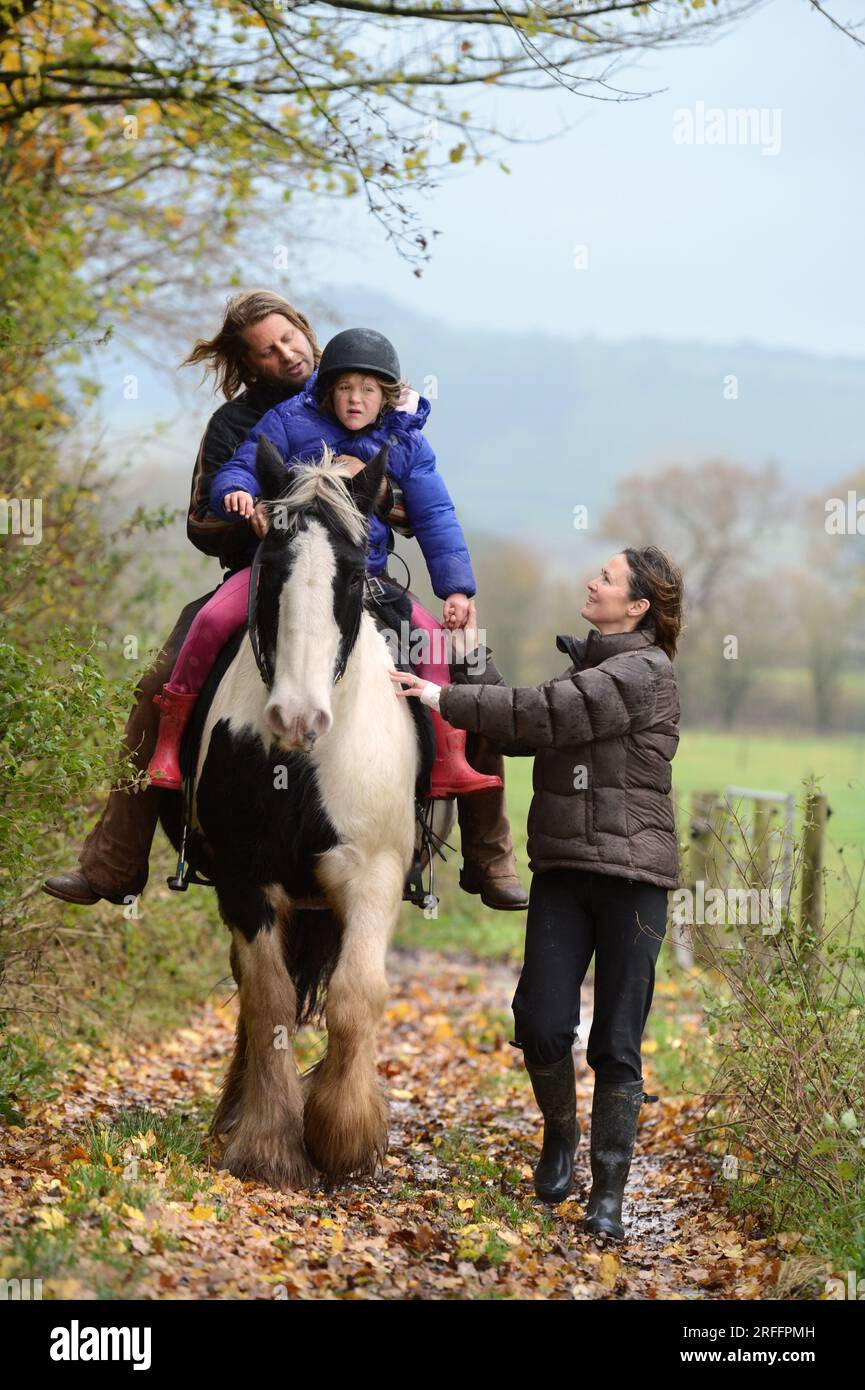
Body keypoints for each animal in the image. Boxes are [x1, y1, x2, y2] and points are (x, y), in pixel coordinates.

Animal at [173, 439, 450, 1189]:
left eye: (353, 575)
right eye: (270, 564)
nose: (297, 717)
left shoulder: (373, 874)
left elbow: (356, 997)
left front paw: (344, 1135)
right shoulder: (245, 880)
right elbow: (267, 1000)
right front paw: (269, 1144)